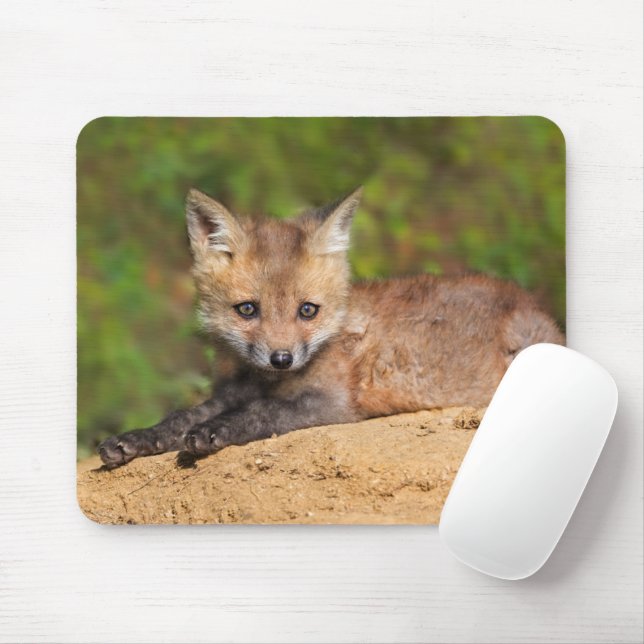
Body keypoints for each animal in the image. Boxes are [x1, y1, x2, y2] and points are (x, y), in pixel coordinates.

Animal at [98, 187, 564, 469]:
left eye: (308, 310)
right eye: (247, 309)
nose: (282, 359)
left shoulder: (334, 405)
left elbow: (263, 412)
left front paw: (215, 431)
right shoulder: (232, 390)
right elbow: (181, 415)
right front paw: (138, 438)